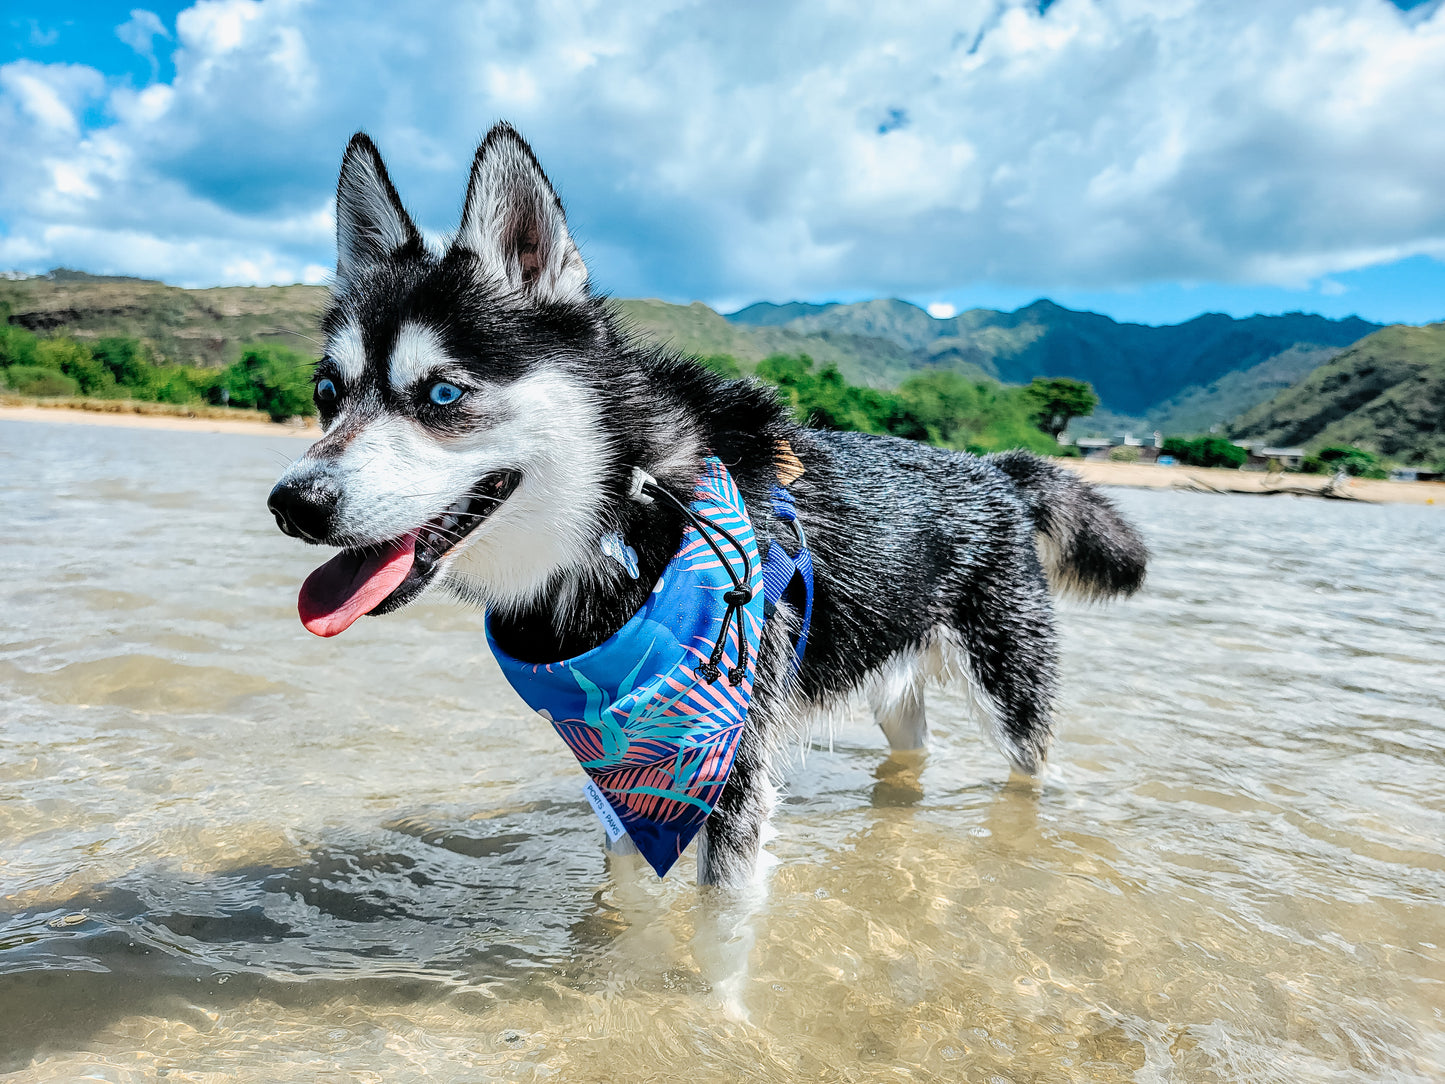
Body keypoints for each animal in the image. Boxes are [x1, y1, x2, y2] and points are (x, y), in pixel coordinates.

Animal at [268, 125, 1150, 890]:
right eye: (327, 392)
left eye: (442, 394)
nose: (292, 504)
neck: (625, 524)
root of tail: (996, 470)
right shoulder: (619, 777)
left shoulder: (720, 762)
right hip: (892, 678)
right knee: (913, 749)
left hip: (1010, 688)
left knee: (1029, 764)